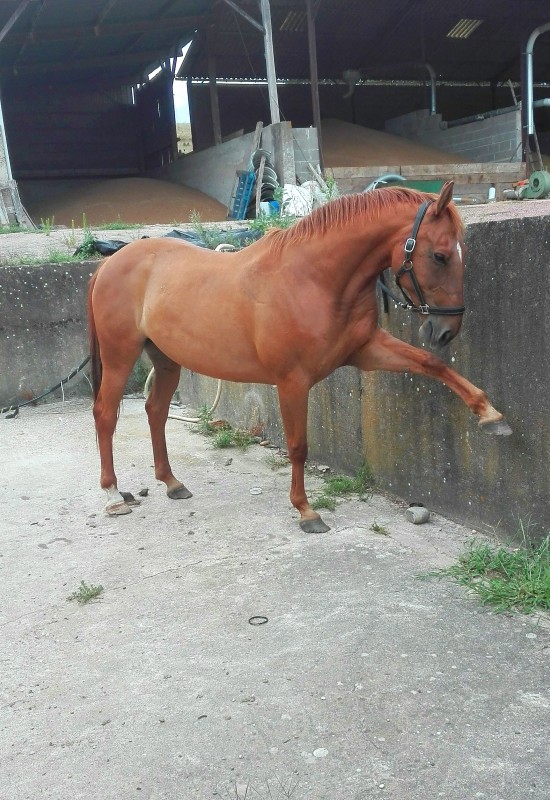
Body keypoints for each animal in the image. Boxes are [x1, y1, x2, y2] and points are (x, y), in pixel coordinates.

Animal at [87, 181, 512, 532]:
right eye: (440, 256)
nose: (445, 331)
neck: (313, 279)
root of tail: (110, 262)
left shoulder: (367, 350)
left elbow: (431, 364)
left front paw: (490, 415)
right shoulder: (292, 381)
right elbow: (298, 445)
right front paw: (307, 511)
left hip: (166, 359)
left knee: (156, 411)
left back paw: (172, 482)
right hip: (120, 355)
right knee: (105, 414)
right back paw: (112, 495)